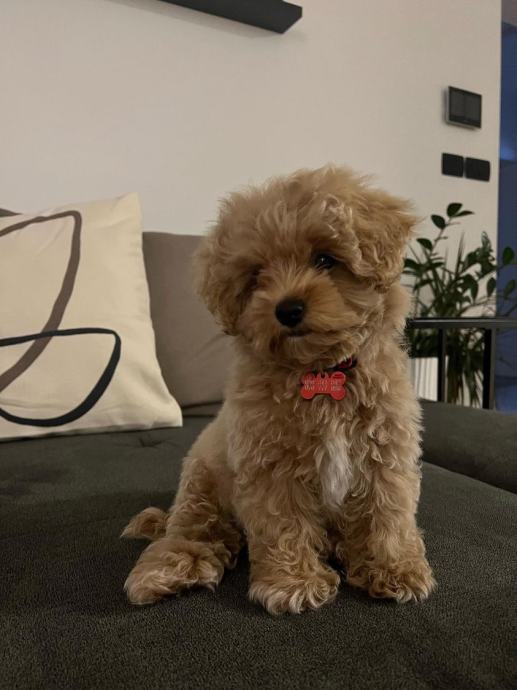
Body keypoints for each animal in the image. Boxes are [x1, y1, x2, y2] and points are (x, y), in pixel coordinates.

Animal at [123, 165, 436, 614]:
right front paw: (293, 583)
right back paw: (171, 571)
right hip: (201, 481)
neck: (321, 371)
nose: (287, 309)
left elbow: (386, 511)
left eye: (325, 259)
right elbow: (284, 523)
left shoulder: (385, 451)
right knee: (193, 532)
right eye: (256, 276)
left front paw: (394, 568)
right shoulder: (271, 465)